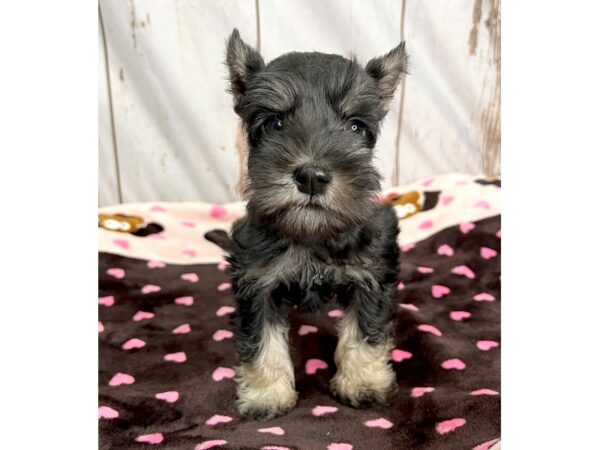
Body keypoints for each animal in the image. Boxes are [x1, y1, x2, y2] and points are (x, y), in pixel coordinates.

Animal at [211, 29, 408, 422]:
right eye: (274, 123)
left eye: (355, 125)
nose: (312, 177)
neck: (312, 234)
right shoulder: (257, 281)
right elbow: (262, 341)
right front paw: (266, 395)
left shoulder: (372, 272)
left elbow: (365, 331)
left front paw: (363, 382)